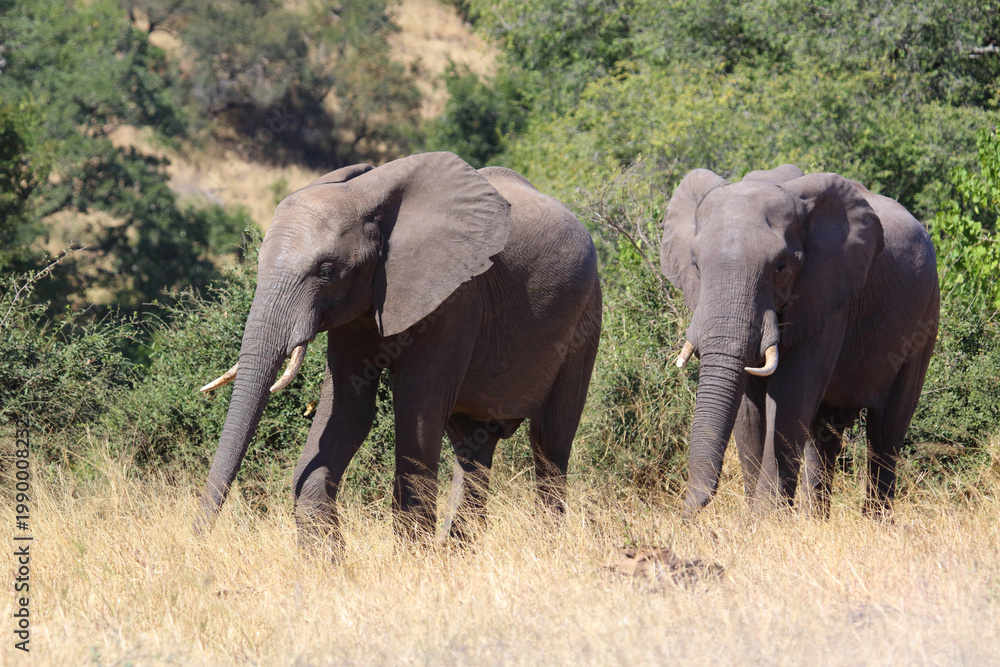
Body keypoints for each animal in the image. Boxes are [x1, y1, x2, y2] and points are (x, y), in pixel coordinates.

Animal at [193, 151, 602, 551]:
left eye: (326, 270)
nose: (200, 542)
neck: (367, 196)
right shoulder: (356, 309)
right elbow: (347, 410)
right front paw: (328, 562)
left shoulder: (456, 298)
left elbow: (416, 409)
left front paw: (413, 559)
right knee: (473, 448)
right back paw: (460, 552)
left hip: (586, 318)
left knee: (551, 441)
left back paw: (546, 547)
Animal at [660, 165, 939, 517]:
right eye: (696, 265)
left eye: (781, 267)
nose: (683, 517)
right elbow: (749, 409)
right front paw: (755, 520)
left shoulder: (828, 294)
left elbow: (791, 396)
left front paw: (766, 520)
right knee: (825, 434)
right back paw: (815, 520)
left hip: (925, 318)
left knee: (886, 430)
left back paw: (876, 522)